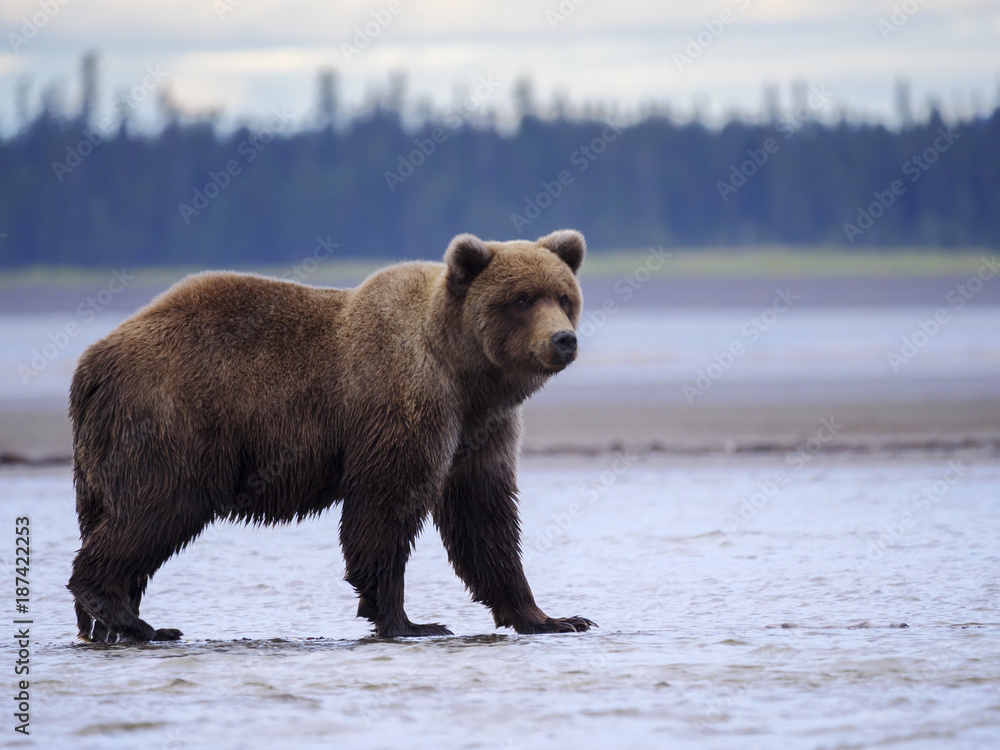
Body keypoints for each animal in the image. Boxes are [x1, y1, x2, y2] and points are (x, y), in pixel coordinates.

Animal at [68, 231, 592, 648]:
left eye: (563, 296)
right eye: (521, 299)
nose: (563, 339)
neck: (463, 372)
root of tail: (93, 361)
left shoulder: (482, 427)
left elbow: (484, 517)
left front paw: (555, 618)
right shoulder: (404, 406)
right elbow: (386, 508)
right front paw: (410, 621)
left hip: (102, 450)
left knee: (112, 514)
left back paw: (114, 624)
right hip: (173, 419)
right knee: (156, 507)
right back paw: (126, 614)